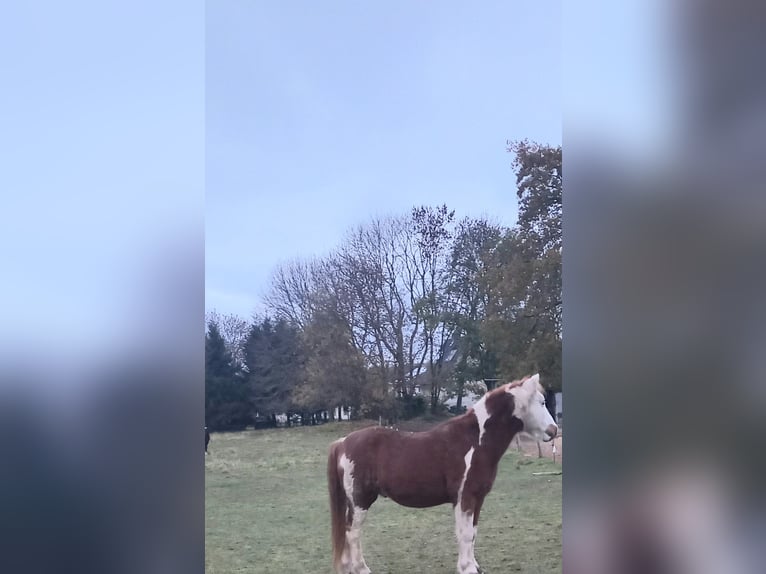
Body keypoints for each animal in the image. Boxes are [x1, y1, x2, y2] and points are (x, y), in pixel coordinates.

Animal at [327, 373, 558, 574]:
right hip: (361, 500)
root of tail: (343, 442)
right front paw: (467, 568)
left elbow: (473, 532)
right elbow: (465, 534)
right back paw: (361, 569)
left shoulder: (478, 498)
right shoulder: (465, 497)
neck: (475, 440)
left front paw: (475, 566)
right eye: (542, 402)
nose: (554, 430)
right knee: (353, 532)